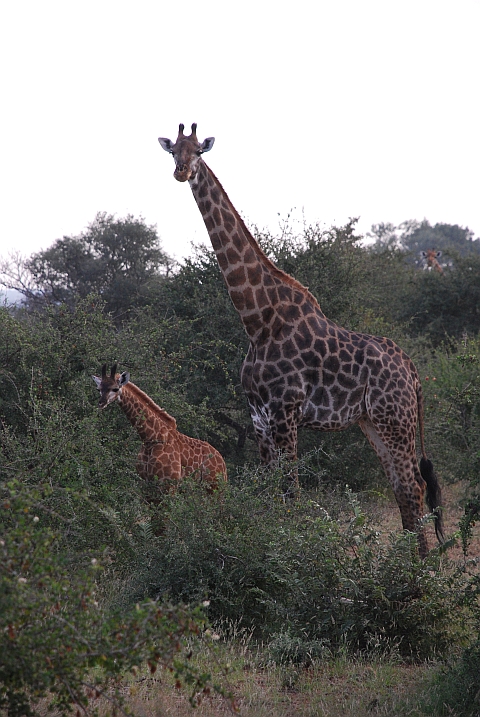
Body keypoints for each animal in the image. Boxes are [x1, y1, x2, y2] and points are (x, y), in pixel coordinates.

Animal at [92, 364, 227, 493]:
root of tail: (223, 463)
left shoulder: (169, 484)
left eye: (115, 388)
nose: (101, 403)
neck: (150, 438)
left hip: (213, 489)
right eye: (99, 389)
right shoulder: (145, 483)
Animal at [158, 124, 444, 556]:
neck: (257, 320)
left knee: (413, 487)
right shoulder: (258, 417)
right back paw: (415, 565)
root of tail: (411, 369)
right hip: (374, 422)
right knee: (403, 487)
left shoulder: (285, 412)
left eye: (199, 151)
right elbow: (270, 494)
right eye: (173, 150)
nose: (180, 171)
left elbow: (291, 494)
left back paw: (422, 569)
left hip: (396, 419)